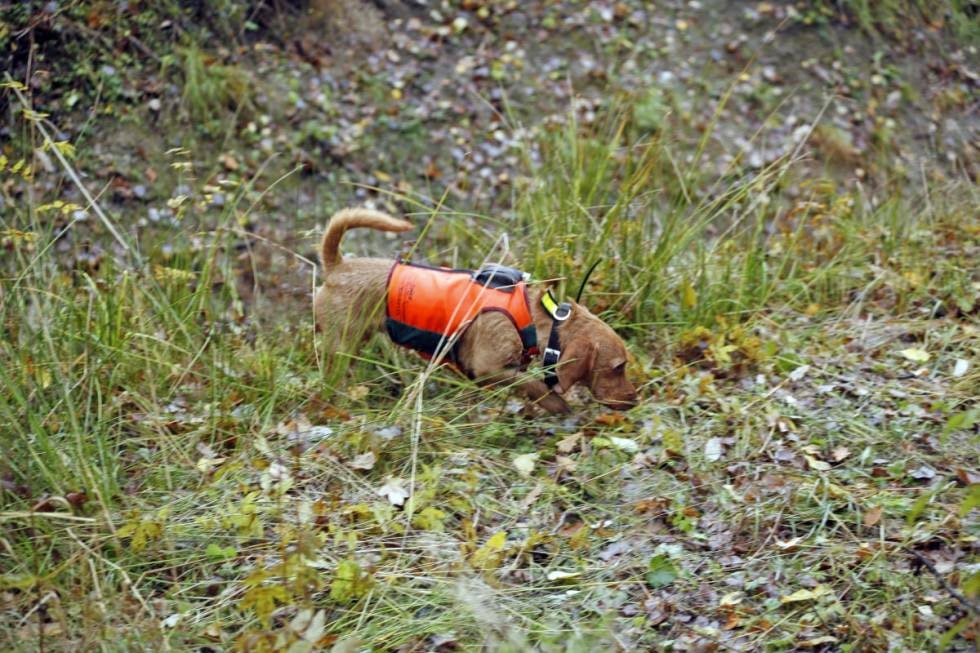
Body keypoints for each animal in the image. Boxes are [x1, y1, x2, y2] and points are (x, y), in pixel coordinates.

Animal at [312, 208, 636, 412]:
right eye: (618, 367)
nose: (636, 400)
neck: (537, 320)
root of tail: (337, 266)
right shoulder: (488, 368)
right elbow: (532, 384)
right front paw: (559, 406)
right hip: (341, 347)